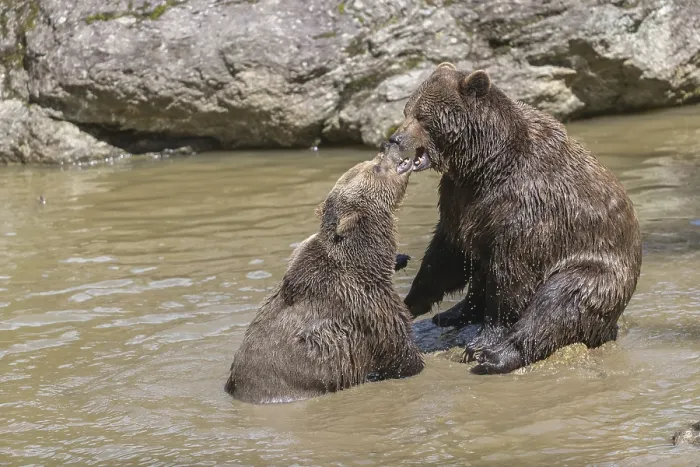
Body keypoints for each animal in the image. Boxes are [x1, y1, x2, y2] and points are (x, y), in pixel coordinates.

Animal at [224, 143, 426, 404]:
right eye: (376, 167)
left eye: (372, 160)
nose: (388, 144)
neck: (367, 261)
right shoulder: (367, 305)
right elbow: (399, 349)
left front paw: (401, 258)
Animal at [389, 62, 643, 375]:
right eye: (407, 111)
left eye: (423, 116)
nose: (395, 139)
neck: (484, 164)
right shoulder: (461, 199)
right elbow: (447, 253)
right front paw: (410, 302)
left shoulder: (527, 206)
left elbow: (511, 276)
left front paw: (481, 344)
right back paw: (452, 313)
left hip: (598, 271)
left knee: (559, 302)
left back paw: (497, 356)